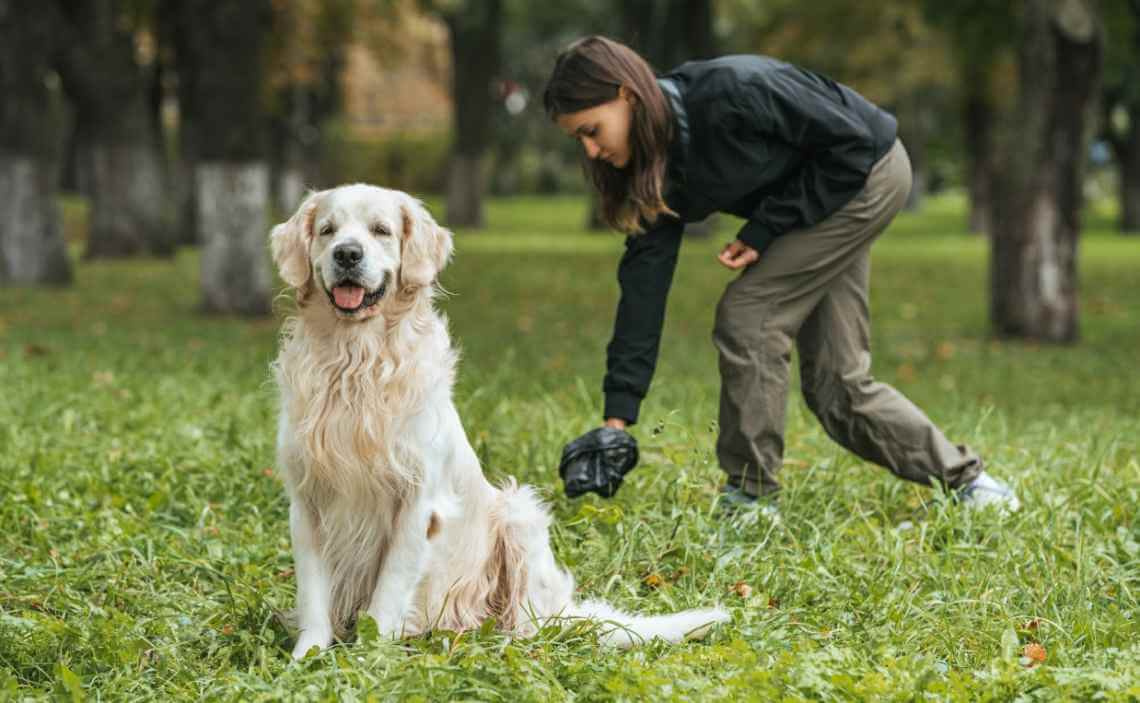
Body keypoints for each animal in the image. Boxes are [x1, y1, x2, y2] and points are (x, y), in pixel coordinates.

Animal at [271, 183, 725, 656]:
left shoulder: (417, 502)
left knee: (529, 622)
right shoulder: (306, 500)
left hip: (519, 514)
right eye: (327, 230)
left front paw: (367, 655)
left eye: (381, 230)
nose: (347, 254)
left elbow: (388, 593)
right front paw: (307, 656)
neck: (354, 360)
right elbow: (313, 595)